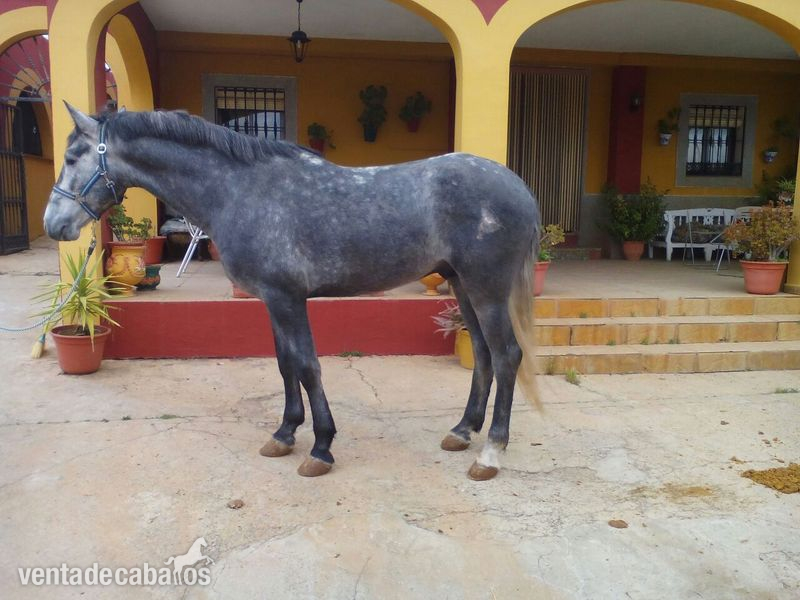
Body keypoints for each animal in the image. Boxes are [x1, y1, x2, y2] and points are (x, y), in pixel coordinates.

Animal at [44, 104, 541, 481]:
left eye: (72, 156)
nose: (54, 225)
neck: (240, 191)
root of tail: (519, 186)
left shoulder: (287, 298)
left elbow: (306, 365)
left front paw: (320, 448)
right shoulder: (273, 299)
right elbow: (285, 365)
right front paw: (284, 434)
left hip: (487, 289)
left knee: (507, 355)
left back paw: (490, 453)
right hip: (462, 286)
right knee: (482, 353)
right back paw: (462, 431)